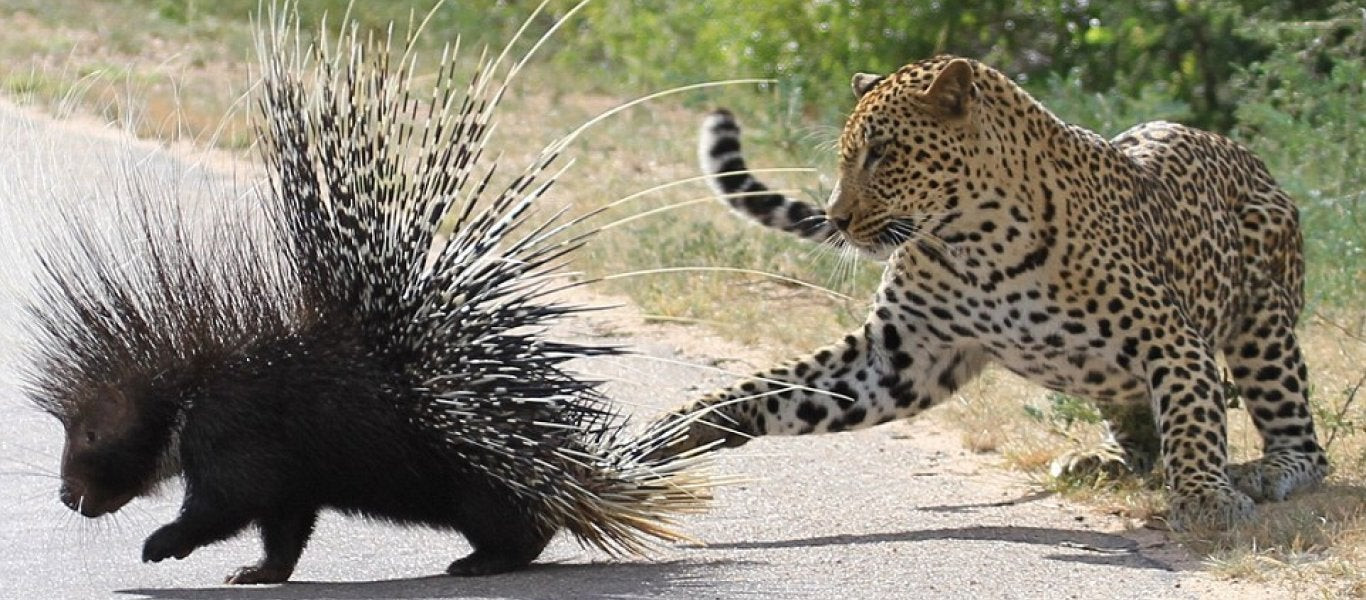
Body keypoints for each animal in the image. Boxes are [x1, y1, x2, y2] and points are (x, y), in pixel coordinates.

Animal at [655, 53, 1327, 527]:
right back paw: (1106, 460)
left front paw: (1205, 498)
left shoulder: (1170, 339)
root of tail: (1249, 157)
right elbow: (774, 387)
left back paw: (1270, 469)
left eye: (881, 154)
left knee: (1302, 440)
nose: (836, 218)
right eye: (850, 156)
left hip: (1263, 320)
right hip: (1115, 377)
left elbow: (1193, 419)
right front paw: (683, 427)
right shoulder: (899, 356)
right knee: (1137, 417)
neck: (974, 242)